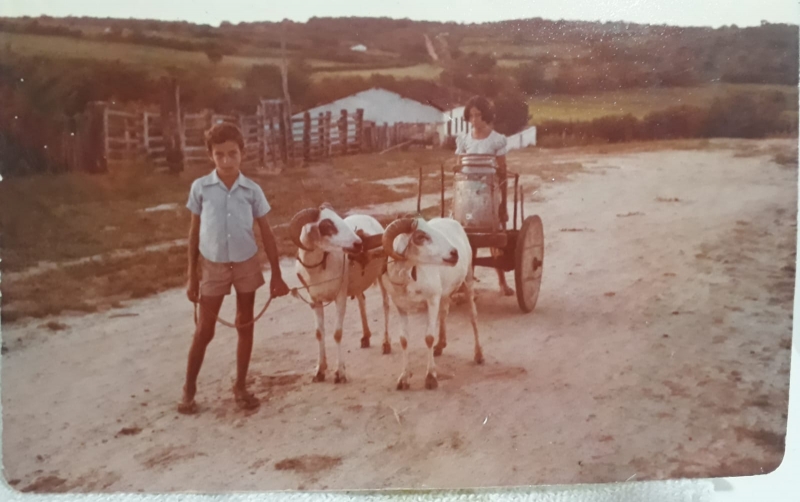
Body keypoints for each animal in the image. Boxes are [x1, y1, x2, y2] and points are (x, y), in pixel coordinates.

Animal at [290, 202, 390, 382]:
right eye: (327, 226)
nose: (358, 244)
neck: (319, 270)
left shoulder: (340, 297)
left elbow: (337, 334)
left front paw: (340, 373)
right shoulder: (314, 300)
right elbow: (319, 333)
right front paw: (320, 371)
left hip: (381, 274)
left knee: (385, 305)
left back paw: (386, 344)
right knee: (362, 299)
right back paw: (365, 337)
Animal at [382, 214, 482, 390]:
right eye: (421, 237)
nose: (454, 253)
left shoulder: (432, 299)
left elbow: (428, 337)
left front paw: (430, 378)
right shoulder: (400, 306)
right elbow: (403, 340)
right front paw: (404, 378)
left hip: (468, 278)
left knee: (473, 316)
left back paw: (478, 355)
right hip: (445, 291)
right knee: (444, 313)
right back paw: (440, 345)